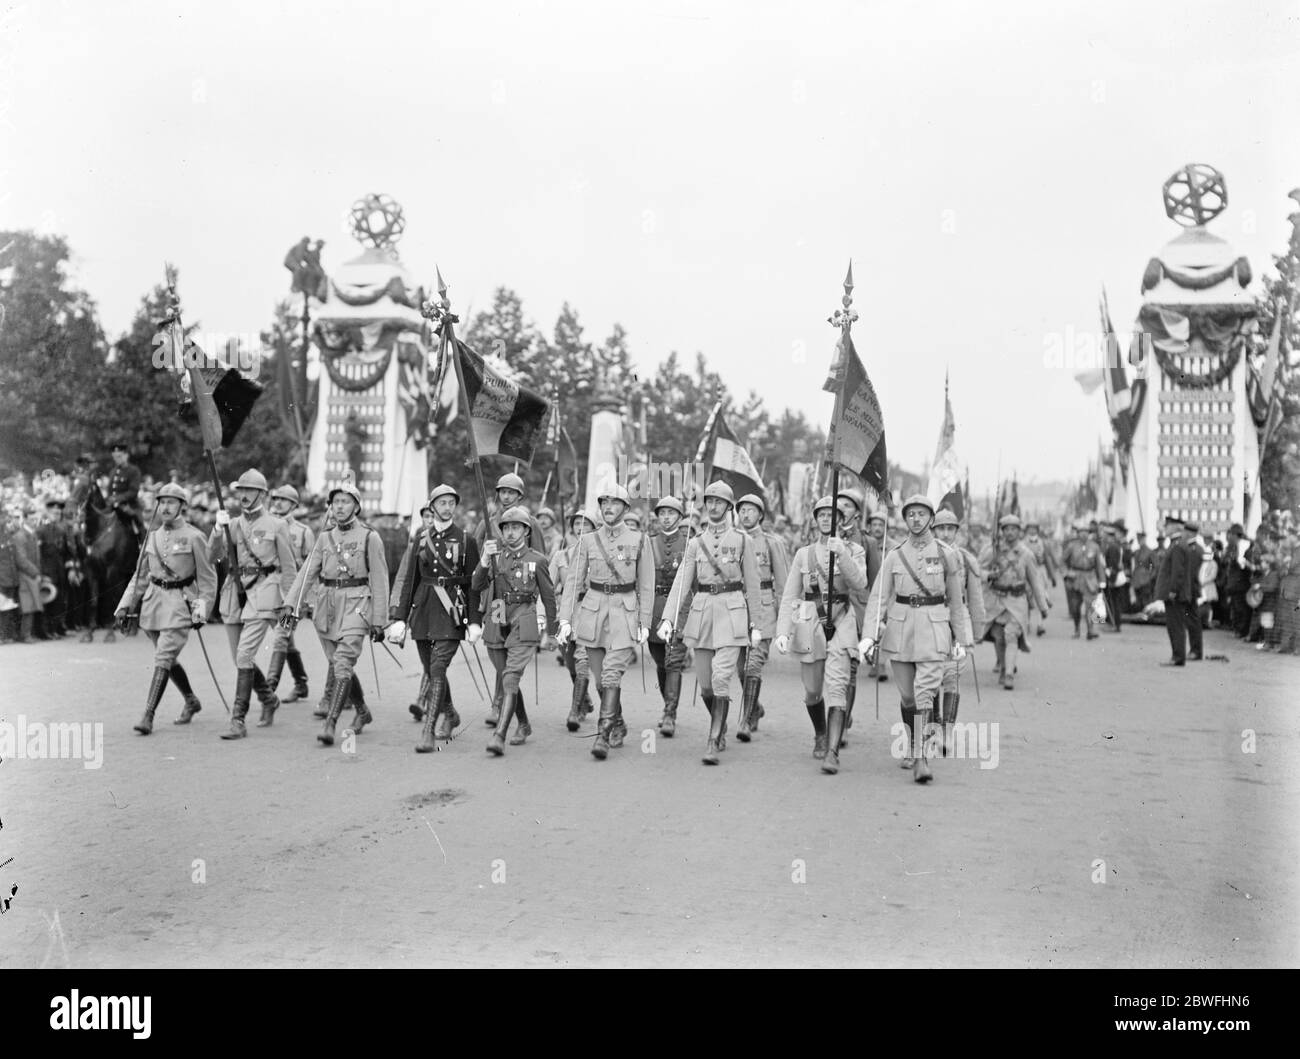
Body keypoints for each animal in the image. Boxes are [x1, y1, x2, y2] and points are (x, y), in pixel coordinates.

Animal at [78, 483, 142, 647]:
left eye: (83, 486)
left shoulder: (112, 571)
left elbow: (111, 600)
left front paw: (110, 633)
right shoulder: (92, 571)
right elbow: (94, 601)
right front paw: (89, 633)